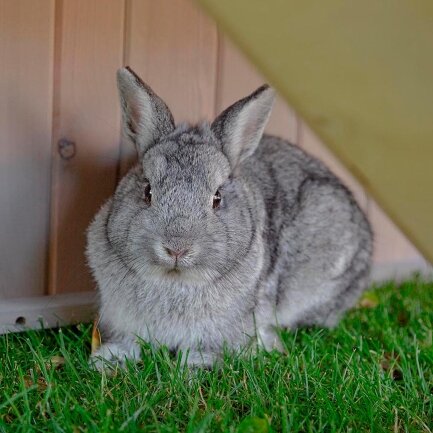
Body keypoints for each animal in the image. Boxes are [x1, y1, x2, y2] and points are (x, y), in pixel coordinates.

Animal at [87, 66, 372, 368]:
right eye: (147, 191)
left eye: (217, 198)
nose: (177, 248)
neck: (174, 281)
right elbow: (126, 341)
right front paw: (107, 362)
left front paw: (197, 367)